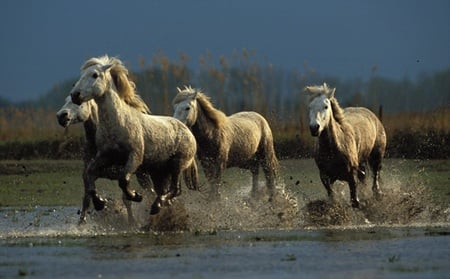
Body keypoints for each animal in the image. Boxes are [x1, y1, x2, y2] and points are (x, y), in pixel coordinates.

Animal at [55, 97, 154, 225]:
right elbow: (87, 199)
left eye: (78, 102)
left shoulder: (123, 174)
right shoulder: (88, 174)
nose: (61, 116)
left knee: (150, 192)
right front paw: (81, 223)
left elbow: (127, 199)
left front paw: (131, 223)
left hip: (142, 174)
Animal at [69, 55, 199, 220]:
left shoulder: (134, 157)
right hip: (159, 172)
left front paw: (136, 196)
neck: (118, 123)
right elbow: (89, 174)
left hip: (177, 165)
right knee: (166, 191)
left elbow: (123, 180)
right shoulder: (105, 156)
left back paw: (156, 206)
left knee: (175, 190)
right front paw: (100, 202)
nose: (75, 95)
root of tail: (186, 129)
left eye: (94, 75)